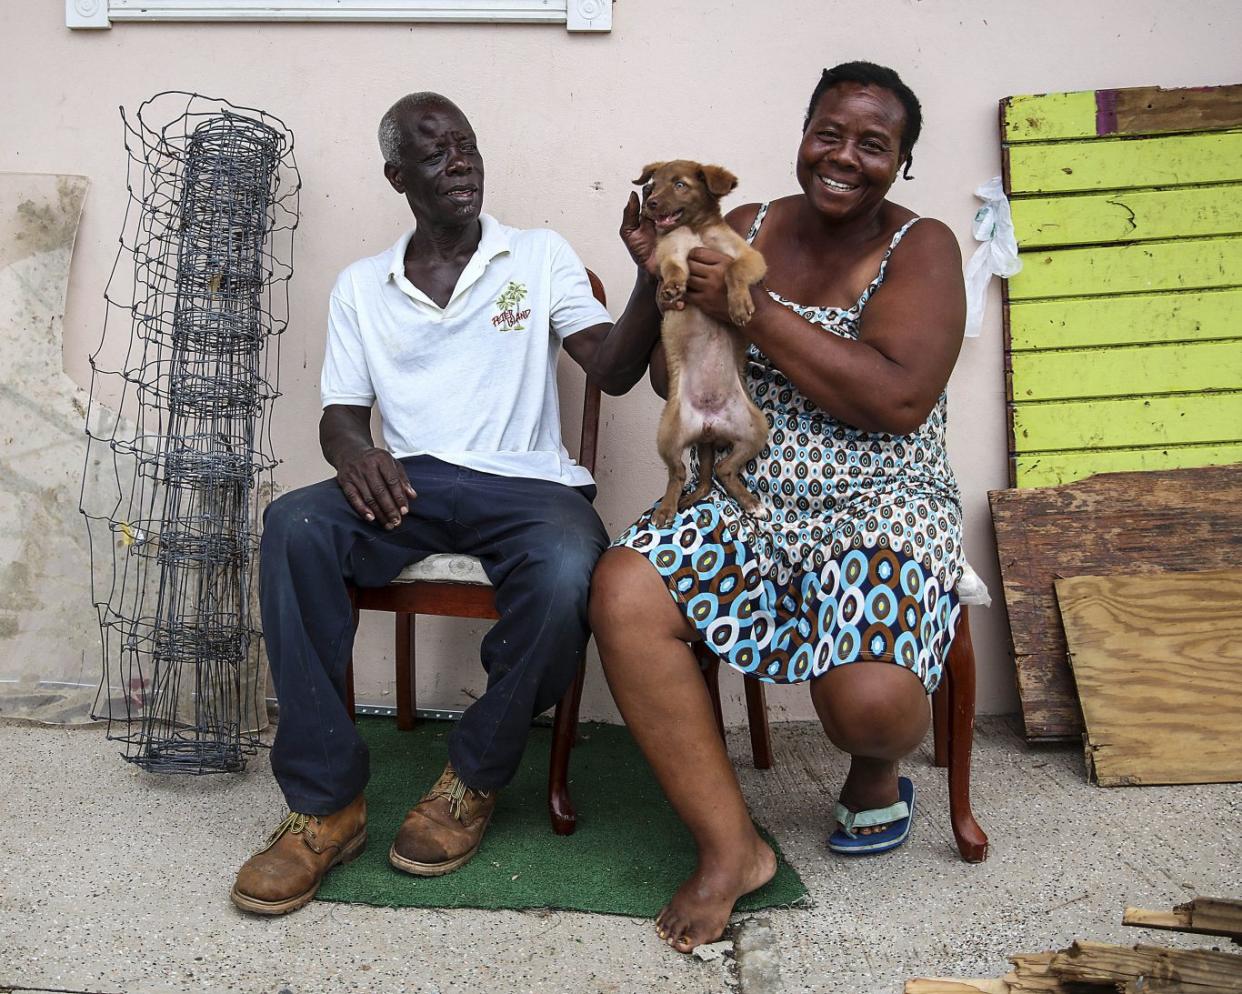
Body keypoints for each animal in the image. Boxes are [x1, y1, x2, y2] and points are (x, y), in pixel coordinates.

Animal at [640, 159, 765, 526]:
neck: (696, 231)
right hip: (668, 433)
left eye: (680, 184)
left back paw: (751, 503)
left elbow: (734, 269)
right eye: (653, 184)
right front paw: (671, 289)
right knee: (678, 473)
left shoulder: (751, 258)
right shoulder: (672, 252)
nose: (650, 203)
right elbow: (673, 268)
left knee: (724, 469)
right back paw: (666, 510)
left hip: (756, 427)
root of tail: (709, 429)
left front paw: (738, 305)